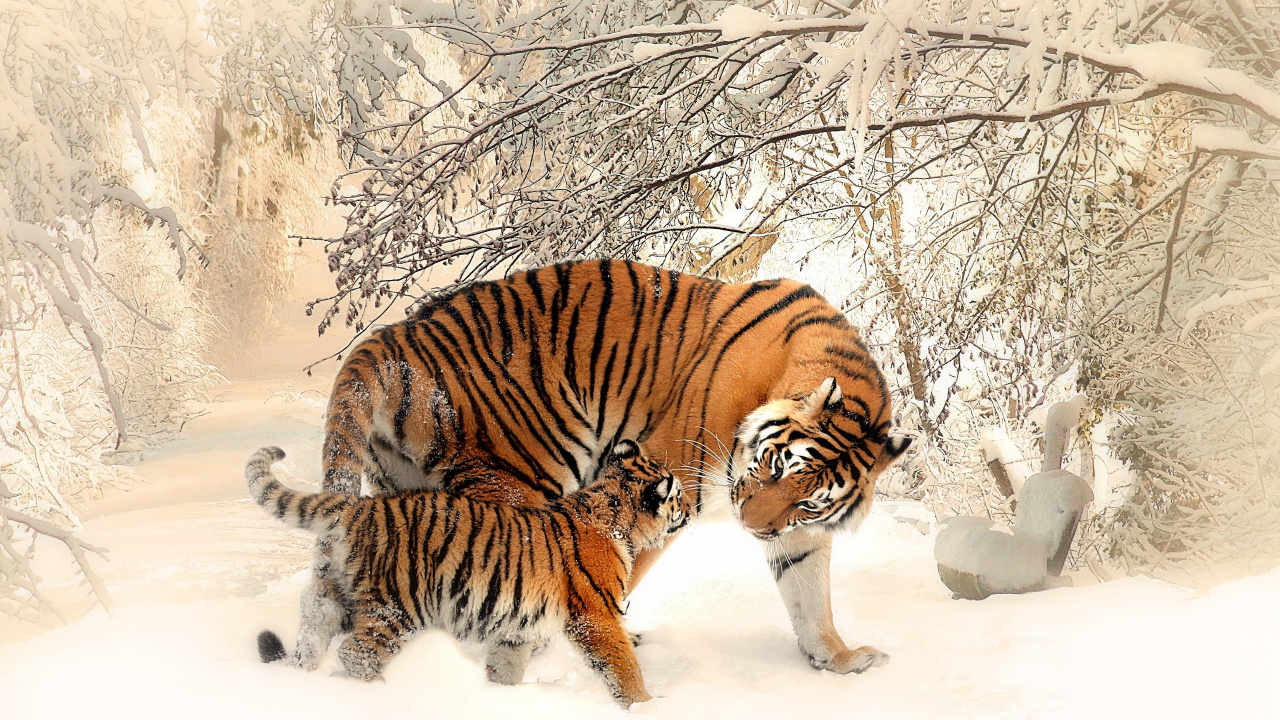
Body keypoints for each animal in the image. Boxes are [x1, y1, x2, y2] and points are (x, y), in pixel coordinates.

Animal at [247, 440, 686, 707]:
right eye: (677, 495)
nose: (687, 509)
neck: (615, 517)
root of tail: (361, 507)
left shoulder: (518, 626)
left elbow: (507, 665)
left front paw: (500, 698)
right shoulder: (596, 616)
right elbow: (623, 667)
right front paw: (646, 705)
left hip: (334, 596)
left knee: (312, 636)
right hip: (396, 606)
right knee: (357, 653)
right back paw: (383, 694)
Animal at [313, 259, 910, 679]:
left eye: (806, 499)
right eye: (771, 466)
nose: (752, 527)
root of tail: (391, 338)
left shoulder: (799, 531)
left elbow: (810, 596)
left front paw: (838, 659)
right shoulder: (666, 479)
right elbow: (619, 569)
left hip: (404, 491)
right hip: (521, 476)